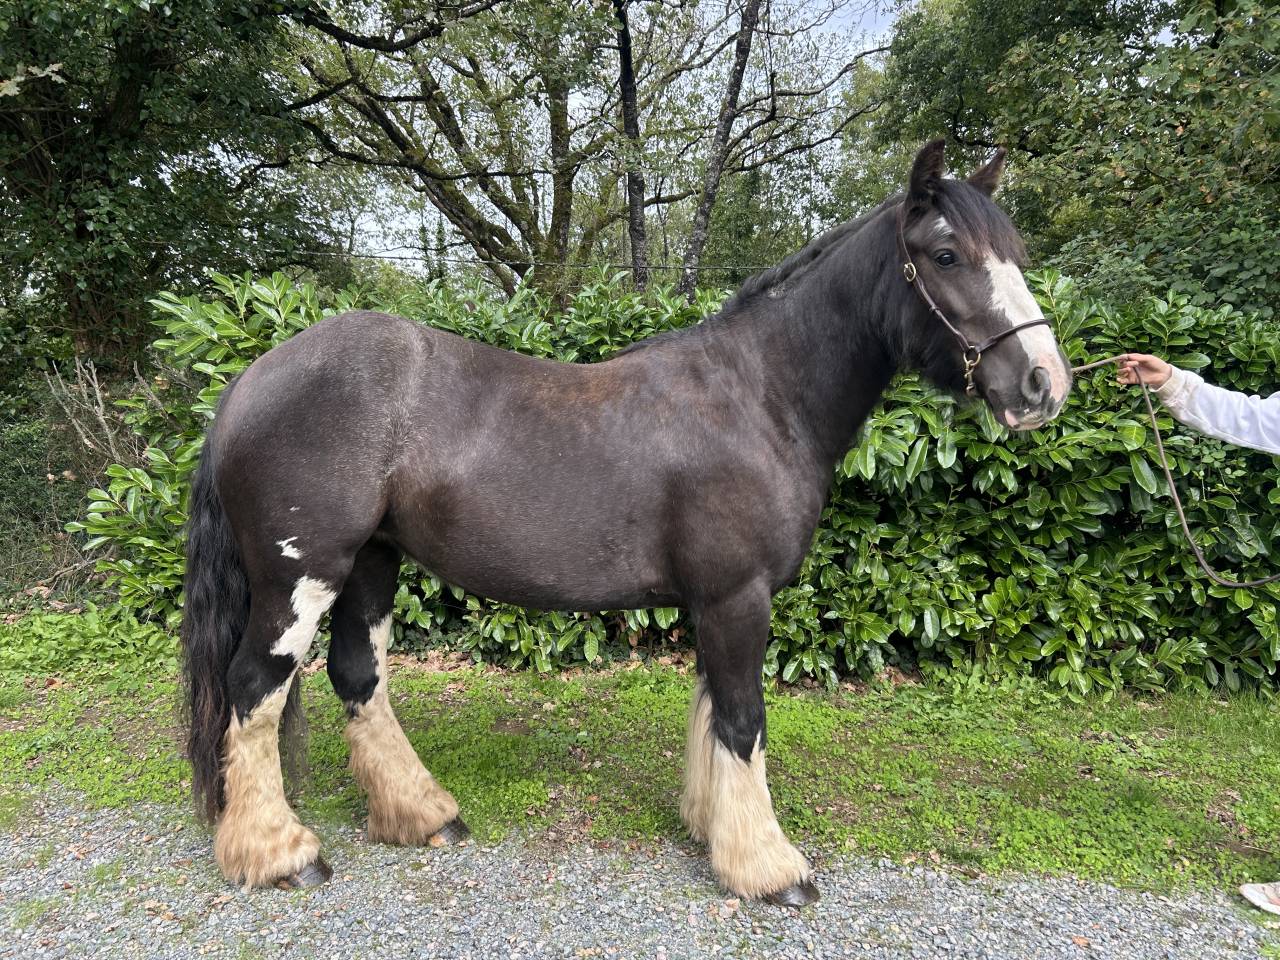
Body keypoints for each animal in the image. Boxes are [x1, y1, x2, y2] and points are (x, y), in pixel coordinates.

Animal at [181, 140, 1072, 907]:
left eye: (1014, 252)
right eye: (947, 254)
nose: (1043, 384)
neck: (759, 395)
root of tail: (248, 383)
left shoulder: (718, 600)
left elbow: (714, 713)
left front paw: (714, 831)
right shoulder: (737, 595)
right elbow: (743, 719)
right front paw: (770, 868)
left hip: (372, 561)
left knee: (358, 677)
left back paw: (424, 814)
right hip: (301, 575)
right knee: (254, 688)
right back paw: (281, 853)